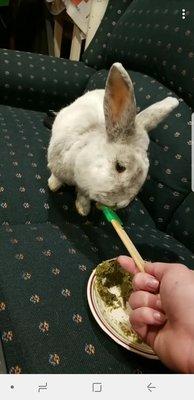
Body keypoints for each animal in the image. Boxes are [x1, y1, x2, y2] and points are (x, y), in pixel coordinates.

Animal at [47, 63, 179, 216]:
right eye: (120, 167)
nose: (120, 205)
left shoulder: (84, 188)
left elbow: (83, 196)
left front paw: (83, 209)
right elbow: (56, 177)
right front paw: (53, 185)